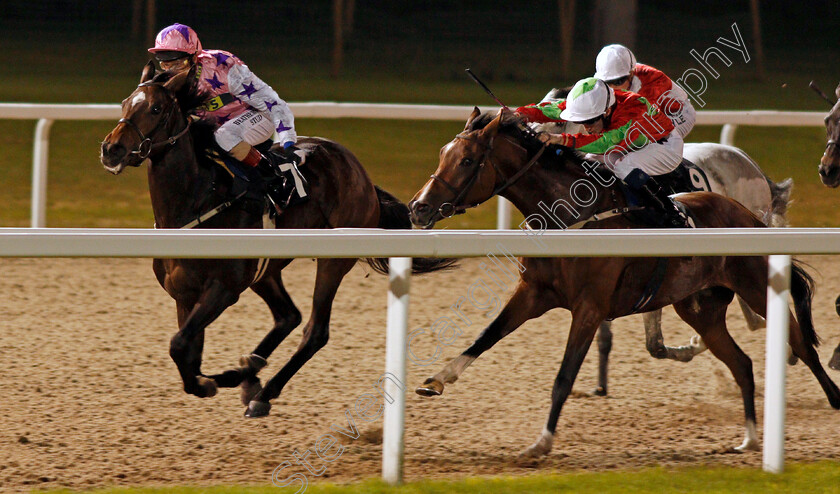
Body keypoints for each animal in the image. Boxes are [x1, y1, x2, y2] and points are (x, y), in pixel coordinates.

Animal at [101, 60, 456, 416]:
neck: (197, 201)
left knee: (315, 331)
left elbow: (179, 345)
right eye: (124, 103)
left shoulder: (224, 288)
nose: (111, 149)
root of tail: (363, 175)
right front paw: (217, 378)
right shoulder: (184, 294)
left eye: (155, 108)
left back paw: (263, 391)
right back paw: (247, 371)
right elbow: (188, 350)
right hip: (265, 270)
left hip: (333, 260)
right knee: (288, 316)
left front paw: (211, 382)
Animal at [406, 109, 840, 460]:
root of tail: (748, 216)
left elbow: (563, 377)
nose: (418, 207)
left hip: (755, 286)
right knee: (742, 363)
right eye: (443, 154)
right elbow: (486, 335)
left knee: (800, 344)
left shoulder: (589, 307)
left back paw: (831, 398)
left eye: (466, 160)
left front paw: (541, 443)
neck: (572, 216)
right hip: (700, 309)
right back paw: (748, 439)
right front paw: (437, 380)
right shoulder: (533, 294)